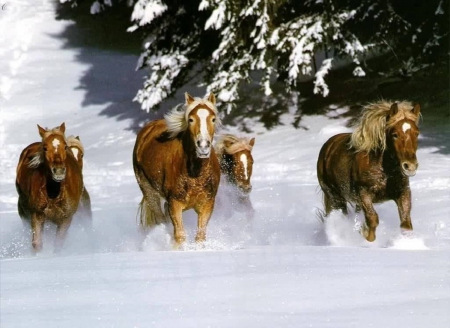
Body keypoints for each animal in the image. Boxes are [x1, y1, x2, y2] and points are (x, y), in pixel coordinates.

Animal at [15, 123, 83, 251]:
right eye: (45, 148)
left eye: (65, 146)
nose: (59, 171)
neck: (54, 193)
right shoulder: (37, 215)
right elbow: (37, 243)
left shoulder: (66, 218)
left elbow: (58, 244)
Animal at [132, 92, 221, 246]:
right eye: (191, 119)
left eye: (213, 119)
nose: (203, 146)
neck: (195, 176)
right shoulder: (175, 203)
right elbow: (180, 235)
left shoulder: (207, 204)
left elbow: (200, 236)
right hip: (149, 192)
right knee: (161, 219)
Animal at [318, 100, 420, 241]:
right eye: (395, 134)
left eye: (416, 133)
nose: (410, 166)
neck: (385, 172)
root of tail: (328, 146)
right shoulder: (364, 194)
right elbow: (372, 219)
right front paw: (363, 233)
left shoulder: (403, 192)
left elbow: (406, 223)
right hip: (334, 196)